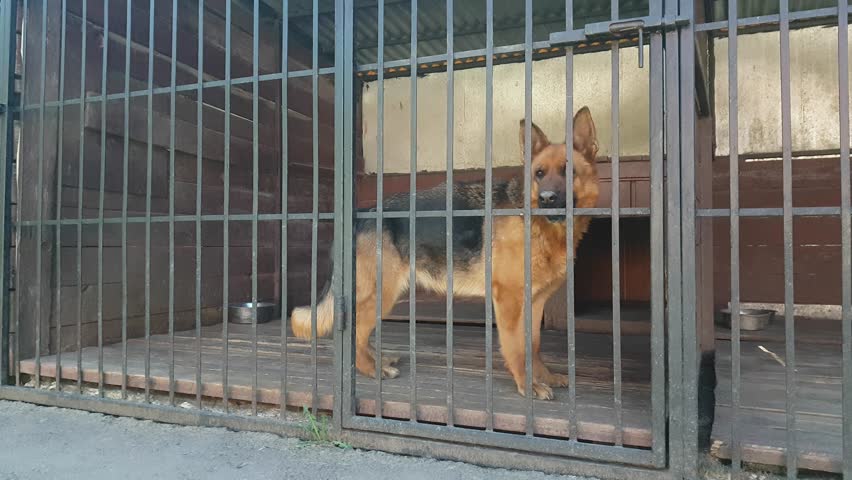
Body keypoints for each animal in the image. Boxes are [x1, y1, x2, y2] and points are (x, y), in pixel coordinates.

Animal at [292, 107, 600, 400]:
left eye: (569, 171)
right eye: (539, 174)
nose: (547, 199)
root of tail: (362, 214)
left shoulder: (534, 304)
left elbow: (533, 345)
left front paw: (544, 376)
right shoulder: (510, 302)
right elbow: (517, 348)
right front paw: (528, 385)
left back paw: (377, 360)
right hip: (380, 293)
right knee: (353, 333)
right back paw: (371, 370)